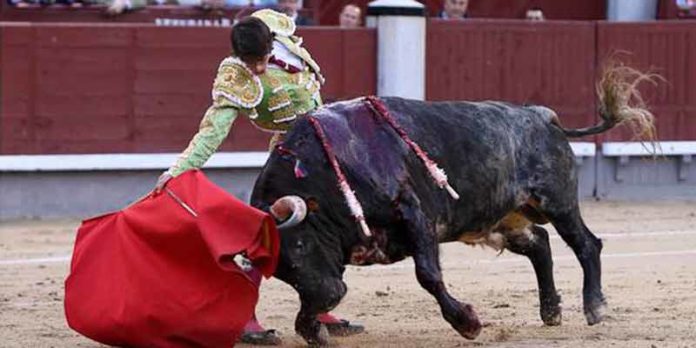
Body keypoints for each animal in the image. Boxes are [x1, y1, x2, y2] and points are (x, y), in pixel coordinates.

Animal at [251, 64, 656, 344]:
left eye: (301, 244)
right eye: (279, 269)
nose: (331, 296)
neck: (328, 170)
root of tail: (541, 115)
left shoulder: (413, 213)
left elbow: (428, 274)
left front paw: (468, 323)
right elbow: (305, 304)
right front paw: (312, 329)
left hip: (557, 202)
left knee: (586, 243)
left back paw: (595, 307)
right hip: (502, 217)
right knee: (540, 244)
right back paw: (551, 310)